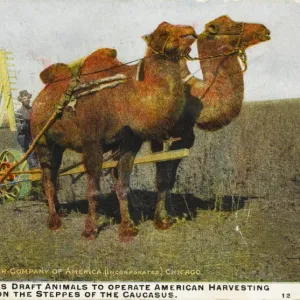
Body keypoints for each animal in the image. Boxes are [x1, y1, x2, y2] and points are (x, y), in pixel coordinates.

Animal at [29, 21, 196, 239]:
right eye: (163, 32)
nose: (190, 31)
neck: (127, 98)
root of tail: (38, 99)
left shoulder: (129, 143)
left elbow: (123, 186)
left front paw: (127, 227)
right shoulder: (92, 142)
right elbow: (93, 190)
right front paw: (90, 230)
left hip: (57, 145)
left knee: (52, 175)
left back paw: (59, 210)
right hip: (41, 139)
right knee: (48, 178)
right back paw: (54, 221)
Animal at [151, 15, 270, 229]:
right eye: (234, 25)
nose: (264, 29)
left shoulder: (186, 137)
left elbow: (170, 176)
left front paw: (172, 214)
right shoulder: (158, 136)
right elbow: (162, 176)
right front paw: (160, 221)